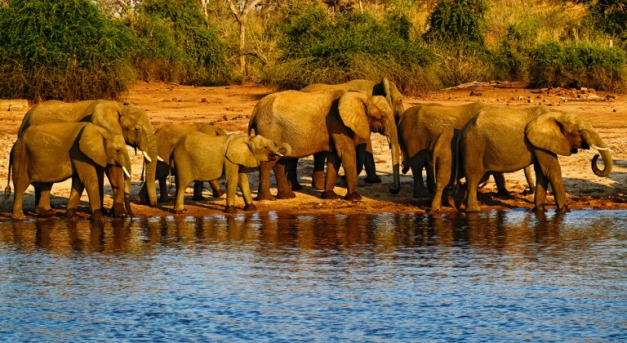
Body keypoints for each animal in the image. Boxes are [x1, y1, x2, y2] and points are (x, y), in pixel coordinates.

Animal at [19, 98, 159, 215]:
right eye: (137, 129)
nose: (151, 204)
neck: (118, 107)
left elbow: (114, 170)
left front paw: (117, 214)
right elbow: (106, 170)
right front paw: (112, 213)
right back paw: (44, 210)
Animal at [248, 89, 400, 202]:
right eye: (381, 116)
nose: (392, 190)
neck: (363, 97)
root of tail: (255, 109)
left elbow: (334, 156)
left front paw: (329, 197)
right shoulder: (337, 123)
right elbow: (346, 152)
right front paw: (355, 199)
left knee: (278, 160)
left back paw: (287, 197)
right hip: (269, 130)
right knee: (269, 161)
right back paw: (267, 199)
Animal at [462, 109, 612, 214]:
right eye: (580, 131)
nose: (595, 156)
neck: (557, 114)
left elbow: (542, 172)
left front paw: (540, 210)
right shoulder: (540, 143)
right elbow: (552, 170)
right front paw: (564, 211)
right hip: (474, 145)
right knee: (473, 176)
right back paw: (472, 211)